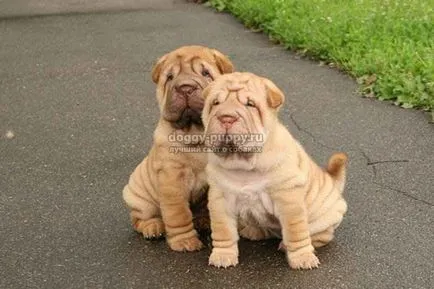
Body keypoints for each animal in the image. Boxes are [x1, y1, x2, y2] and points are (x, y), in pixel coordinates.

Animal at [123, 44, 234, 250]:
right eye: (169, 77)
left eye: (206, 73)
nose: (185, 88)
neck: (196, 133)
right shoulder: (172, 178)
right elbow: (178, 214)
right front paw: (185, 242)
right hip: (138, 195)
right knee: (139, 218)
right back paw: (153, 227)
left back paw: (203, 221)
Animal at [202, 71, 348, 268]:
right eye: (215, 103)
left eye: (250, 104)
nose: (226, 117)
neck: (244, 164)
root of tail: (333, 183)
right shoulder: (220, 198)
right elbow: (223, 231)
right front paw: (223, 255)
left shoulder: (288, 199)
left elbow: (296, 232)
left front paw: (302, 259)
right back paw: (253, 231)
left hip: (325, 218)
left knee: (318, 235)